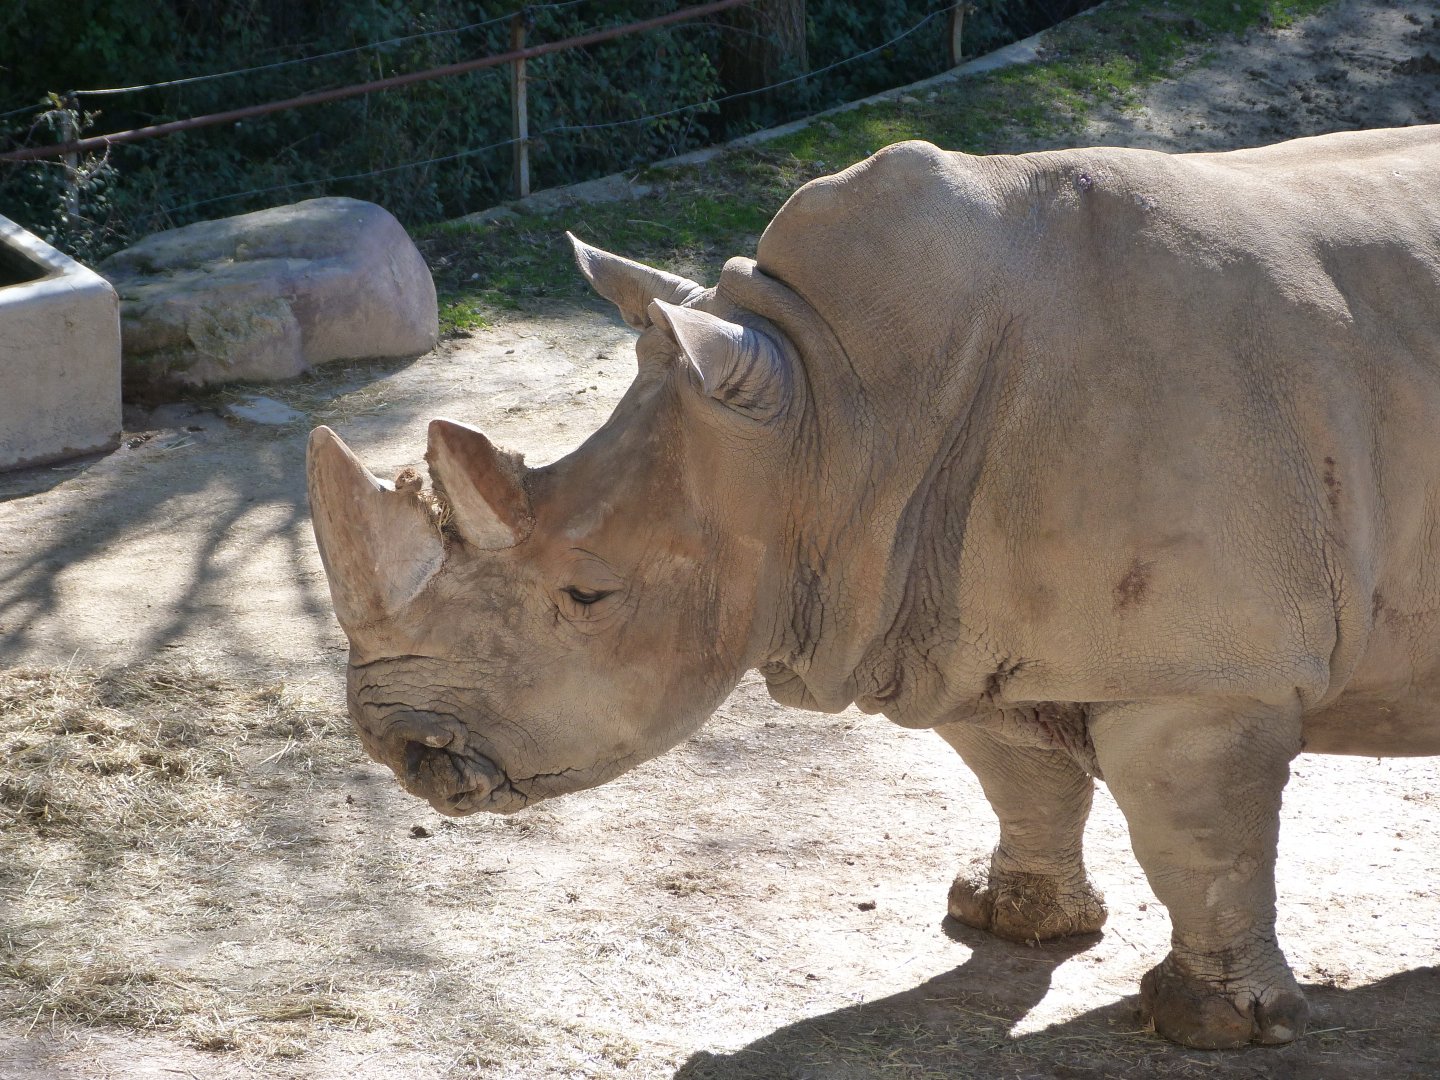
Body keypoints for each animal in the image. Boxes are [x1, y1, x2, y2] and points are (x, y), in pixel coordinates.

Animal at [308, 125, 1440, 1050]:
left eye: (589, 597)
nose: (398, 744)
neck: (832, 413)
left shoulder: (1211, 671)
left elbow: (1198, 839)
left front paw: (1211, 1028)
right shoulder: (945, 618)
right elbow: (1019, 774)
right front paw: (1006, 918)